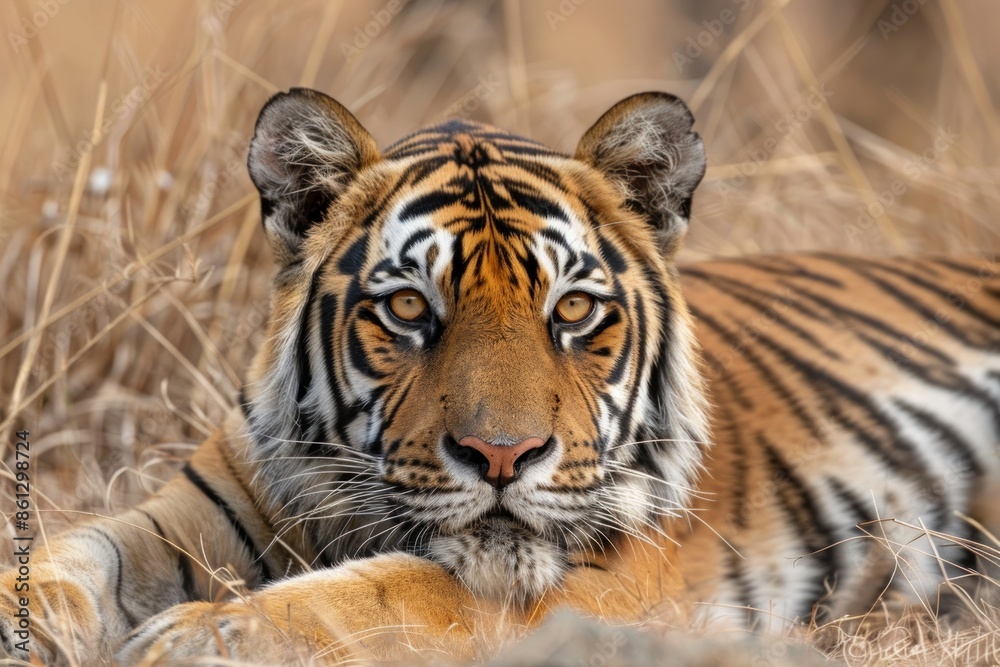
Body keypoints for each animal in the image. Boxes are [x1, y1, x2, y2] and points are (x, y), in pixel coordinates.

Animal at [2, 87, 999, 664]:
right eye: (410, 309)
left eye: (573, 310)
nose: (502, 455)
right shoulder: (185, 518)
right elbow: (71, 553)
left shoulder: (599, 584)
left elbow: (395, 589)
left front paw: (206, 635)